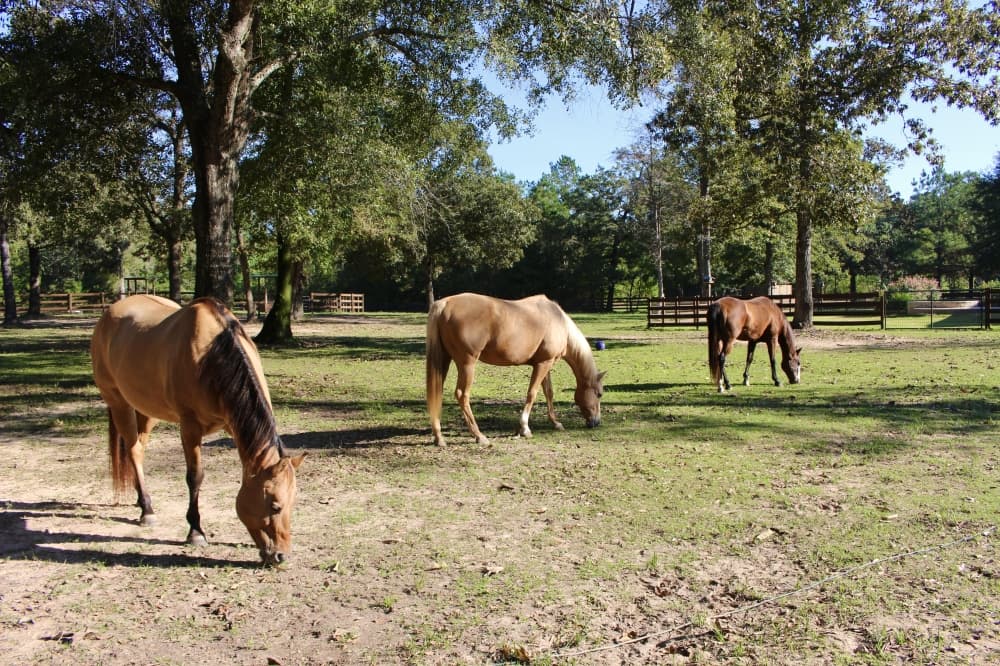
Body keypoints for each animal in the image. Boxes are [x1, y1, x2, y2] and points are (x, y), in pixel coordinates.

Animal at [90, 295, 305, 566]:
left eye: (293, 502)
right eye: (275, 506)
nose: (281, 556)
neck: (210, 356)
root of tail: (109, 314)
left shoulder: (233, 425)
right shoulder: (189, 427)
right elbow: (195, 477)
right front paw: (195, 532)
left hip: (146, 411)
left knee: (138, 448)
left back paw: (141, 501)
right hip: (119, 403)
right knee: (134, 451)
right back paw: (147, 510)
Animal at [426, 292, 606, 446]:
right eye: (599, 394)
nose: (596, 422)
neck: (559, 322)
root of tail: (445, 303)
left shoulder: (544, 364)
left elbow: (549, 392)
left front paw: (555, 423)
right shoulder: (543, 364)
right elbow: (532, 393)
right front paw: (525, 428)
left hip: (444, 360)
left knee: (437, 391)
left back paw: (439, 437)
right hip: (467, 364)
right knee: (462, 395)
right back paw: (479, 436)